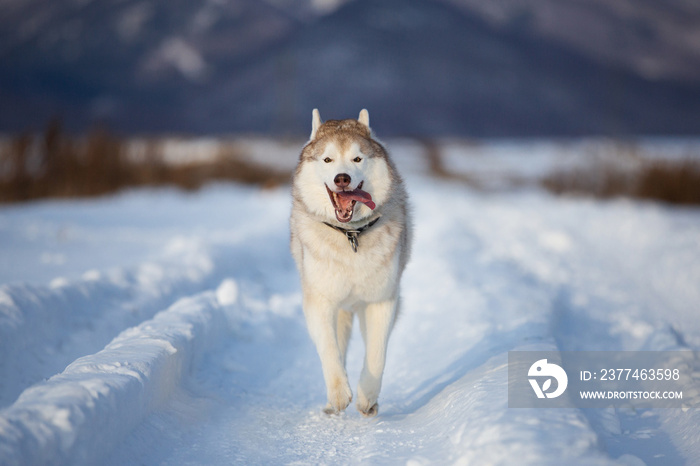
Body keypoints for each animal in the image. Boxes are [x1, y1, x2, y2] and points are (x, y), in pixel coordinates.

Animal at [288, 110, 410, 418]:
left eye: (357, 159)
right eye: (327, 160)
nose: (341, 179)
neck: (351, 235)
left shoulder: (381, 301)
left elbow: (377, 355)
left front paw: (366, 398)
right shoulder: (319, 301)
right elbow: (329, 350)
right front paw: (339, 394)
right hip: (340, 308)